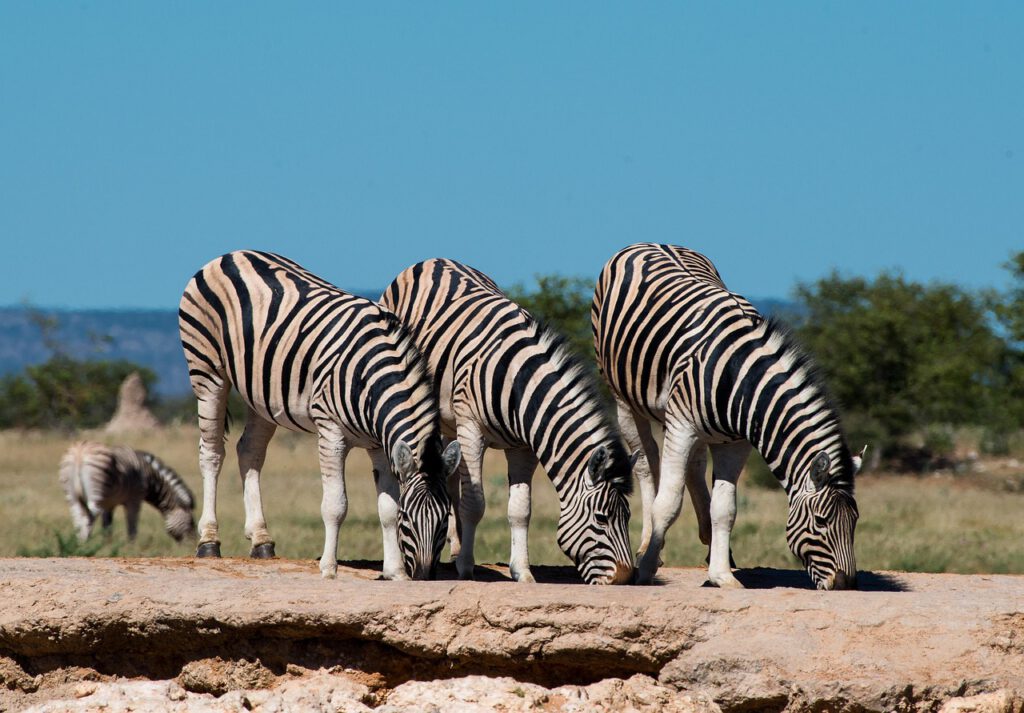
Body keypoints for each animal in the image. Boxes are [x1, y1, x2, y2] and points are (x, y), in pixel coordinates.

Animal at [59, 441, 195, 543]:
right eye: (191, 522)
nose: (191, 544)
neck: (149, 476)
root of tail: (80, 452)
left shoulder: (108, 505)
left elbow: (107, 527)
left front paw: (107, 546)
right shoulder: (134, 500)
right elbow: (132, 527)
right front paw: (131, 548)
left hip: (72, 496)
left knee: (78, 517)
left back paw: (80, 545)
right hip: (95, 493)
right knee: (90, 516)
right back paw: (86, 543)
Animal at [178, 250, 461, 580]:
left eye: (444, 520)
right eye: (409, 521)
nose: (424, 576)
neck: (370, 377)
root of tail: (231, 254)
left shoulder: (380, 444)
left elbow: (386, 508)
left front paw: (394, 571)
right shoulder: (331, 432)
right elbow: (336, 505)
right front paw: (329, 568)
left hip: (260, 393)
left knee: (249, 450)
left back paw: (261, 540)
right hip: (207, 370)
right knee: (211, 452)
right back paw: (209, 541)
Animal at [381, 259, 637, 585]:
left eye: (628, 517)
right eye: (602, 519)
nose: (625, 579)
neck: (518, 381)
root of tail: (433, 260)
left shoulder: (523, 447)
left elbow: (520, 509)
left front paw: (522, 571)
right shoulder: (471, 430)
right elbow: (475, 503)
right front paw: (467, 569)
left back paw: (457, 545)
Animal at [592, 243, 862, 590]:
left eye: (855, 520)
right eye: (822, 520)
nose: (846, 584)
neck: (741, 378)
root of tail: (651, 242)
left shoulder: (734, 442)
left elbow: (726, 508)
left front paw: (721, 574)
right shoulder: (682, 426)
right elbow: (668, 503)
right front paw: (648, 567)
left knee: (693, 468)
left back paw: (711, 542)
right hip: (625, 401)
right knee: (646, 463)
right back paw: (645, 544)